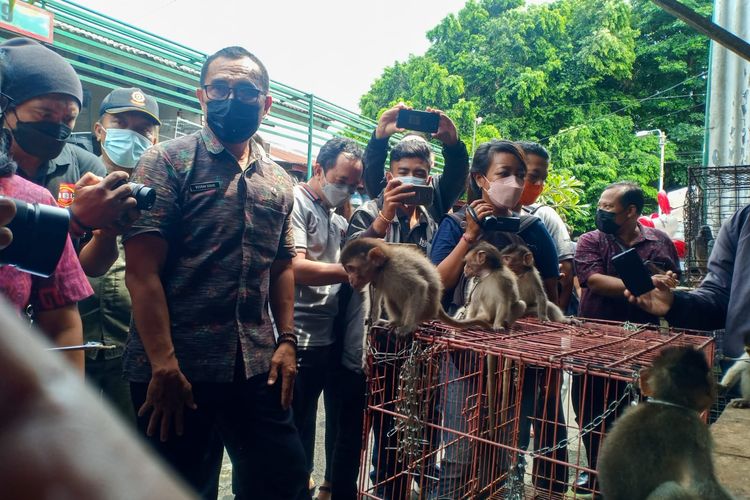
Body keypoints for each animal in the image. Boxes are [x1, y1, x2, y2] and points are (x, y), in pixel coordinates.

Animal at [340, 237, 494, 336]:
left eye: (351, 268)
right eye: (347, 270)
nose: (350, 279)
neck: (383, 266)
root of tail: (437, 305)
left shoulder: (395, 268)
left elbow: (418, 286)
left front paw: (407, 327)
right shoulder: (374, 279)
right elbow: (375, 303)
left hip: (426, 309)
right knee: (390, 295)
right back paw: (396, 321)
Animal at [604, 348, 736, 500]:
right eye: (709, 383)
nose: (716, 388)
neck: (668, 404)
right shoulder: (696, 428)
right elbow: (704, 484)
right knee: (670, 489)